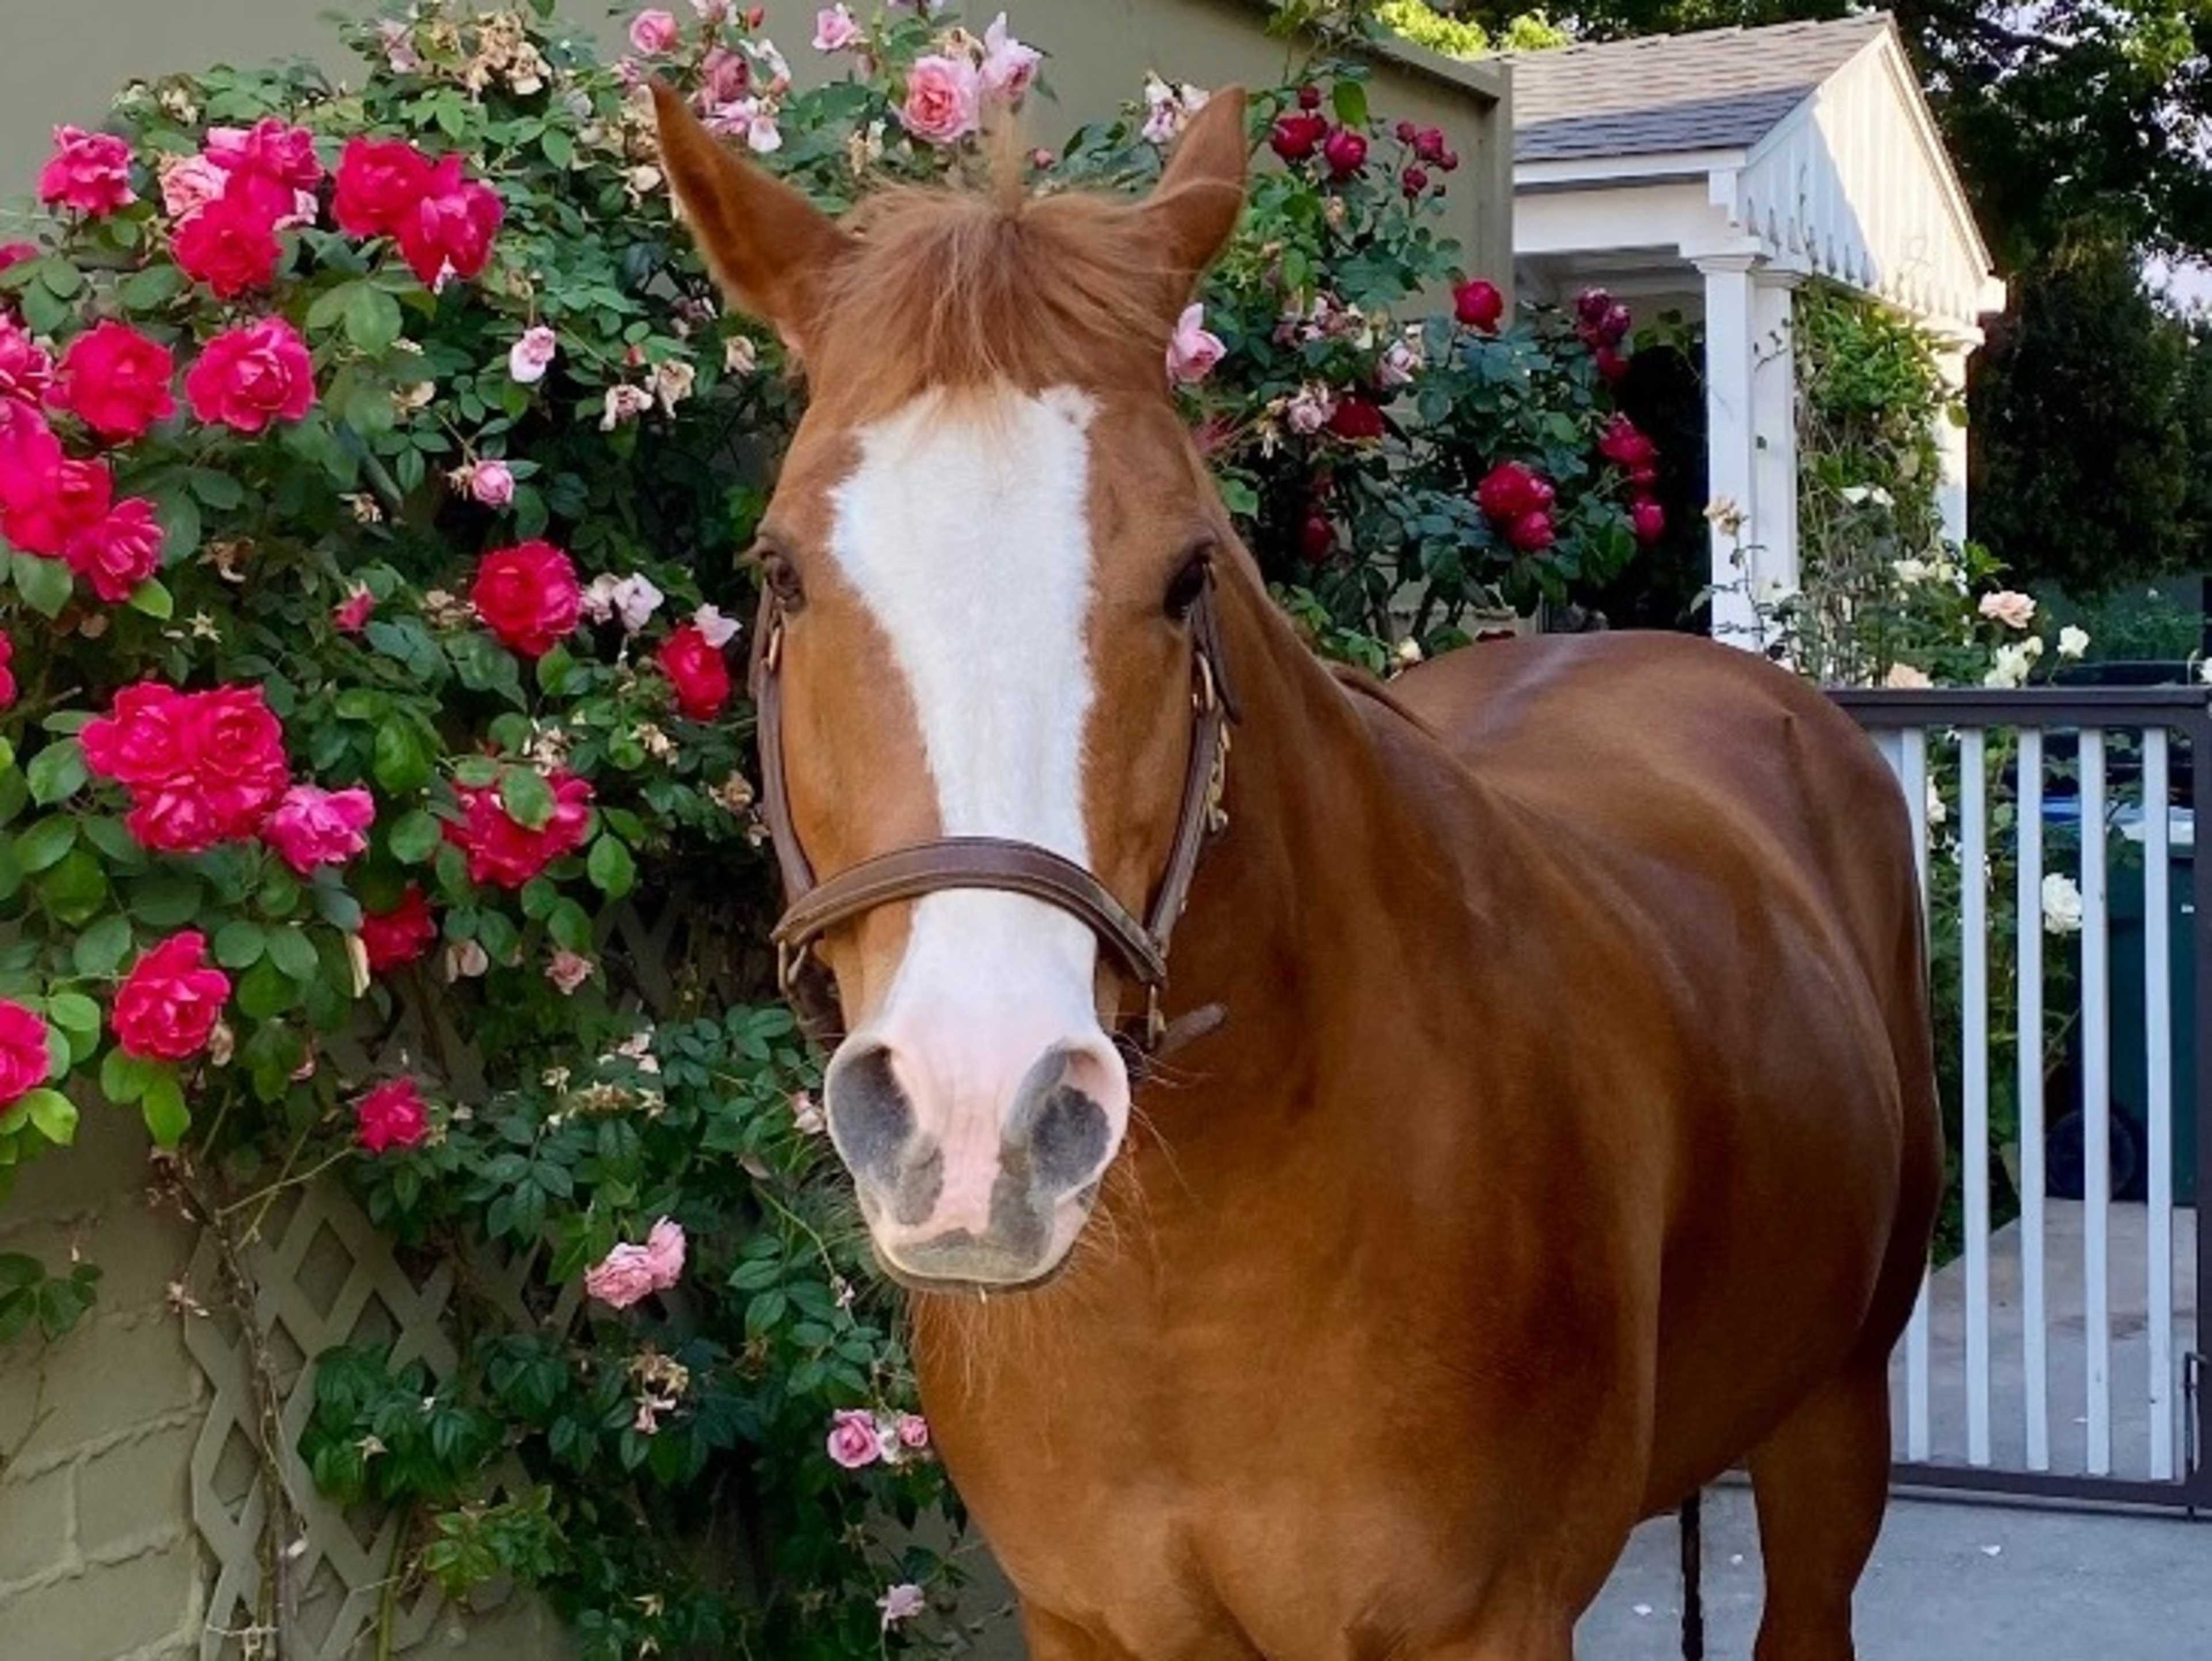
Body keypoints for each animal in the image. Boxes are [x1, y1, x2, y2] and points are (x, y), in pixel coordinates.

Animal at [654, 80, 1941, 1661]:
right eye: (779, 572)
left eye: (1187, 573)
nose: (978, 1124)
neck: (1187, 1280)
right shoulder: (1086, 1620)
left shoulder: (1491, 1623)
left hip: (1833, 1423)